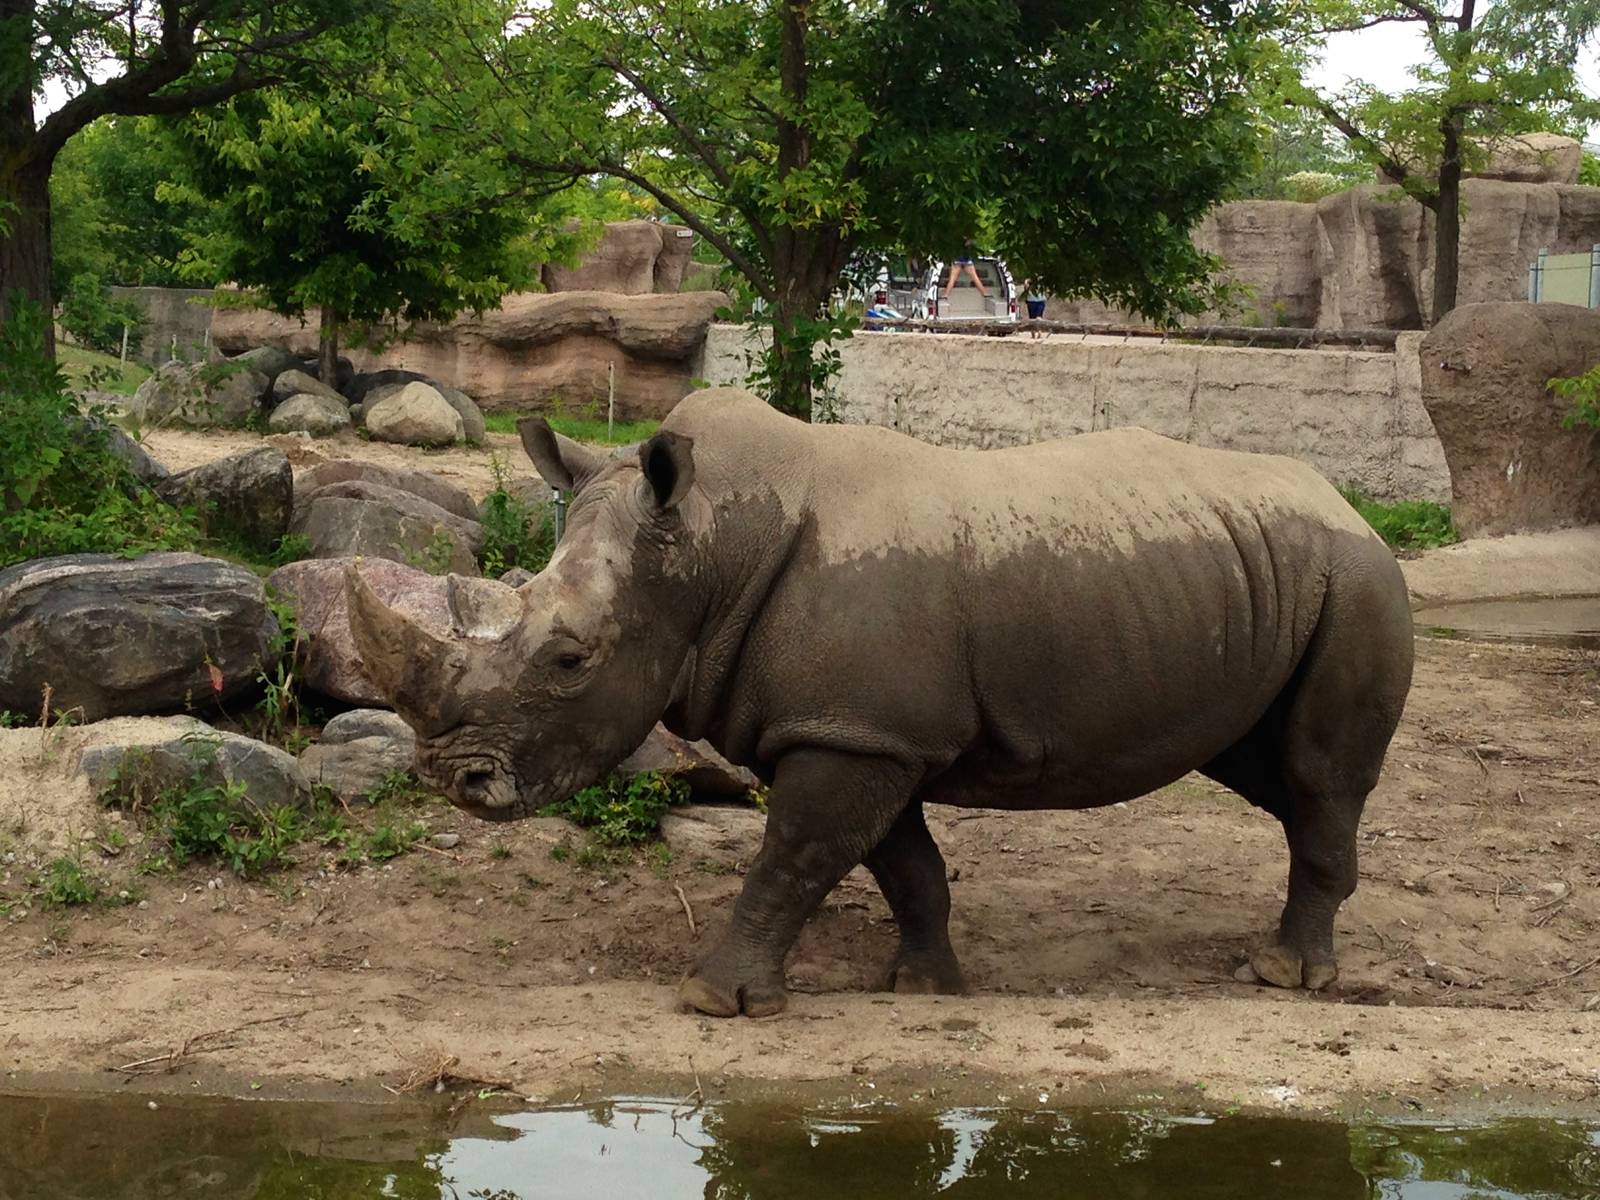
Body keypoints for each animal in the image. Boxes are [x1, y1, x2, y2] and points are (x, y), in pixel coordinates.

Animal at [347, 387, 1413, 1017]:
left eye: (571, 660)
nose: (451, 781)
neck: (707, 544)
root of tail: (1347, 504)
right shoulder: (868, 730)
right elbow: (902, 866)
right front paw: (925, 989)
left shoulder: (854, 735)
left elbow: (796, 854)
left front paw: (717, 1002)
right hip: (1264, 571)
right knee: (1266, 772)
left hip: (1357, 578)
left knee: (1317, 775)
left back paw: (1287, 979)